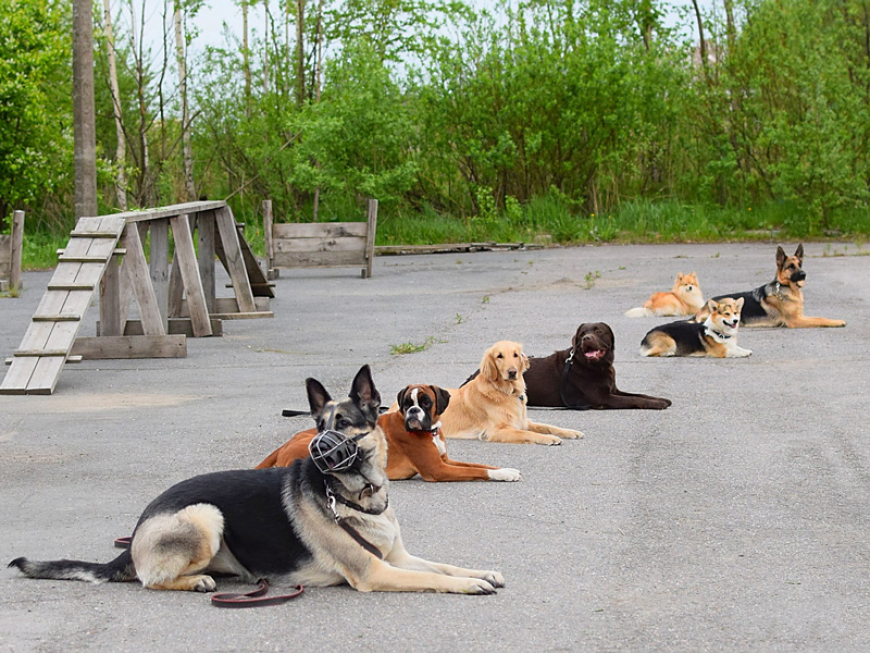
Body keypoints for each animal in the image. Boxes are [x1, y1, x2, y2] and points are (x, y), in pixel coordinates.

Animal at [255, 382, 520, 484]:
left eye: (426, 402)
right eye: (407, 403)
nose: (413, 411)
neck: (431, 432)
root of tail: (283, 445)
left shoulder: (446, 460)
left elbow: (480, 464)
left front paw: (507, 471)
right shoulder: (438, 470)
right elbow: (477, 471)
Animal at [442, 342, 584, 444]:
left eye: (515, 355)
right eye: (499, 356)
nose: (512, 372)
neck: (507, 392)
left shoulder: (524, 421)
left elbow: (548, 426)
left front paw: (571, 432)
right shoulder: (497, 431)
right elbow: (527, 433)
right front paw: (550, 438)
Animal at [524, 324, 676, 410]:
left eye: (598, 332)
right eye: (582, 334)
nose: (586, 338)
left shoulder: (614, 390)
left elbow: (640, 395)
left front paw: (661, 400)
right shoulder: (602, 398)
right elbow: (633, 399)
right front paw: (658, 404)